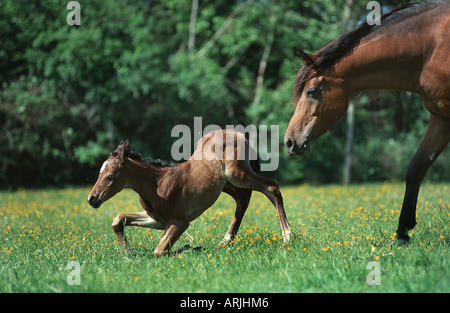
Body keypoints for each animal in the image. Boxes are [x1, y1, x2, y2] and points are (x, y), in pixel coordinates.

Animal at [284, 0, 450, 244]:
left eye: (311, 92)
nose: (289, 141)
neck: (429, 47)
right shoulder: (441, 116)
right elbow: (415, 168)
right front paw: (403, 232)